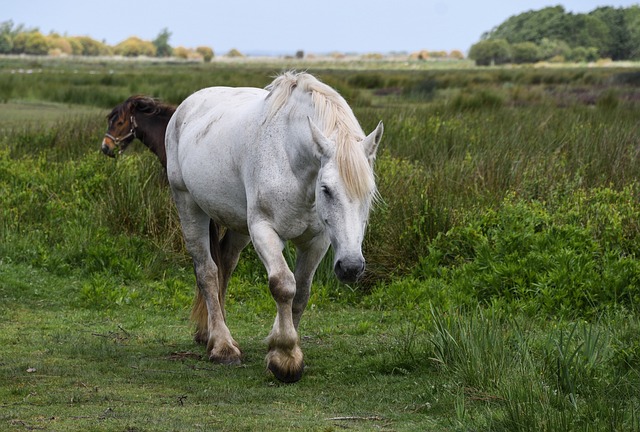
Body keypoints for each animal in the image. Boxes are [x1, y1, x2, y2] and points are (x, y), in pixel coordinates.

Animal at [168, 71, 382, 382]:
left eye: (369, 192)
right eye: (326, 189)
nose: (351, 267)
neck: (290, 159)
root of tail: (186, 105)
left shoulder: (317, 241)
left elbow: (301, 293)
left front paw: (281, 347)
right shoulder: (264, 230)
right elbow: (282, 285)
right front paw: (285, 357)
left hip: (238, 225)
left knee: (225, 266)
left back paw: (209, 332)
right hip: (188, 205)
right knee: (207, 272)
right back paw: (222, 346)